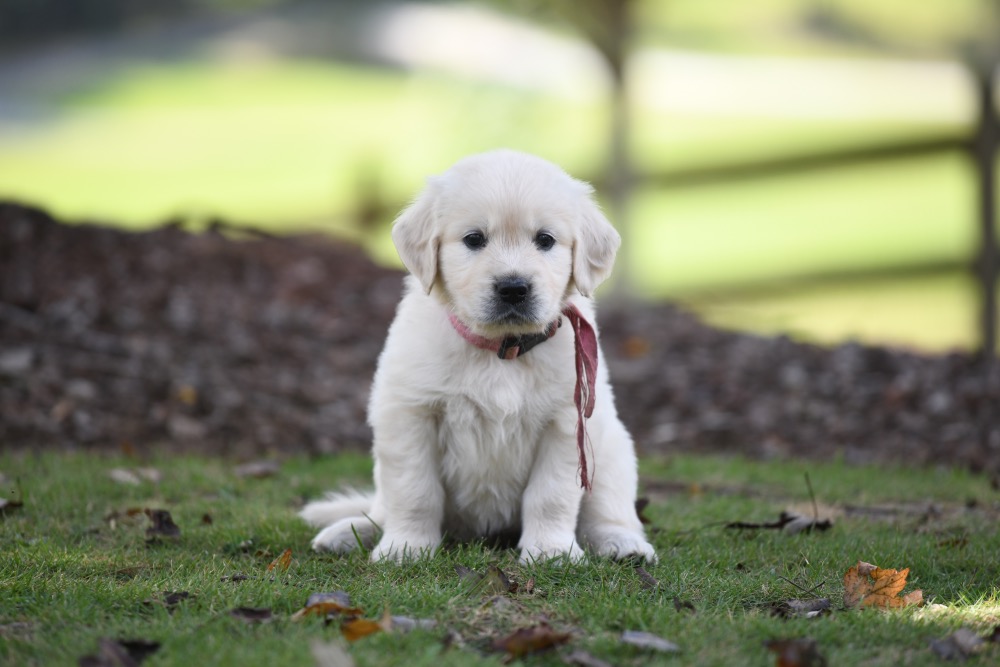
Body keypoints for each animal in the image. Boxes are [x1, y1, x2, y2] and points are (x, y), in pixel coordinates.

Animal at [298, 151, 656, 564]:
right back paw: (349, 532)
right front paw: (405, 547)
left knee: (608, 511)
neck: (501, 350)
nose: (513, 288)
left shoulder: (566, 422)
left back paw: (621, 542)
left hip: (613, 453)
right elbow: (414, 491)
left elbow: (551, 495)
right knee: (381, 508)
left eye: (545, 240)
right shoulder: (410, 414)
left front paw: (551, 551)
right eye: (474, 239)